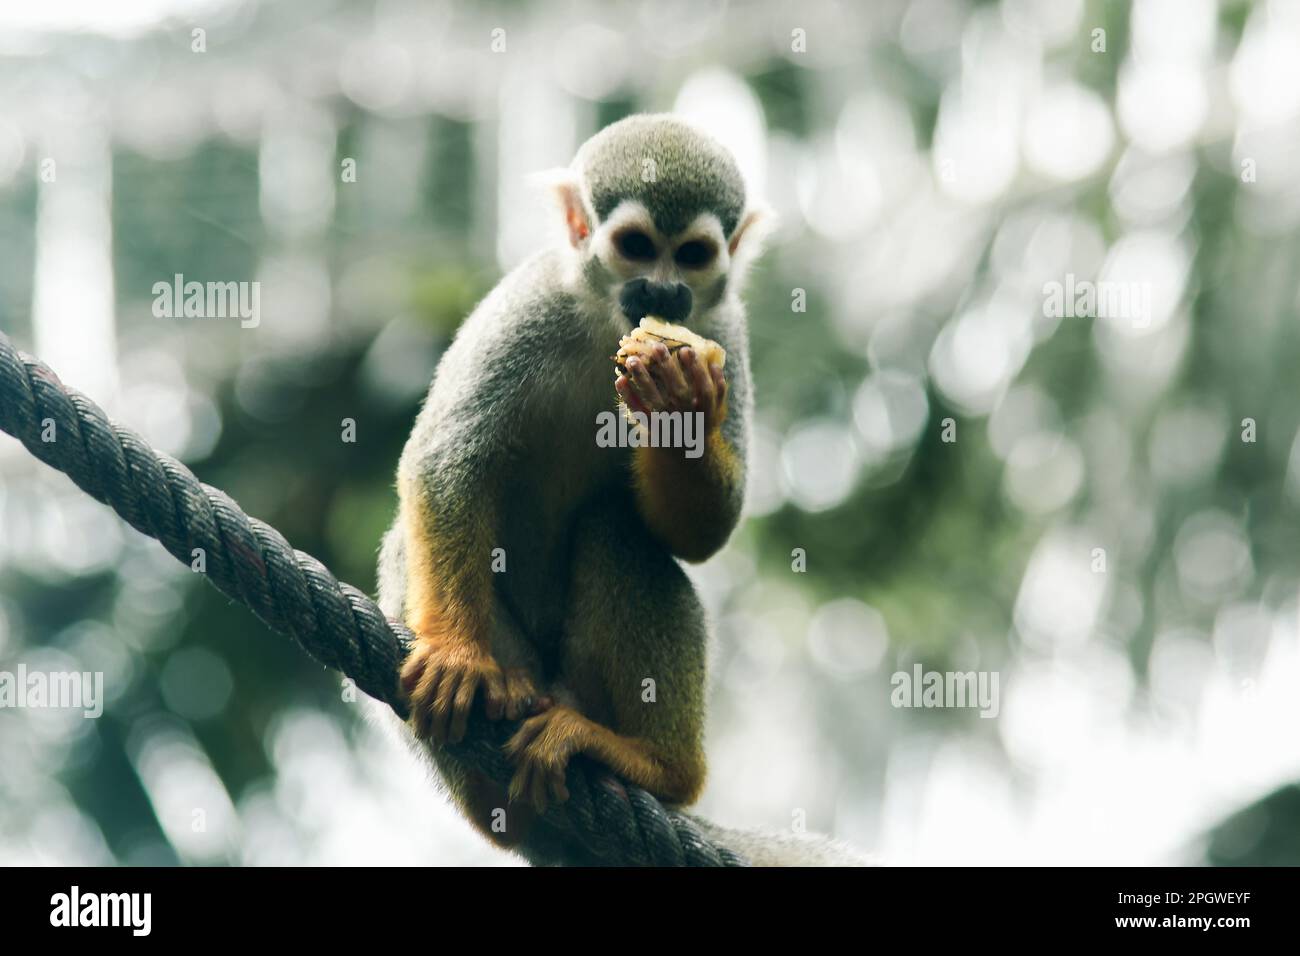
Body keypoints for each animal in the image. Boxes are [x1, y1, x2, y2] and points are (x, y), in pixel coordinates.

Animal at [376, 114, 867, 865]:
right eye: (637, 247)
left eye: (691, 255)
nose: (662, 293)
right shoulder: (529, 303)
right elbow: (449, 459)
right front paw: (457, 653)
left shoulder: (724, 333)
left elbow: (703, 533)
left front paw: (679, 406)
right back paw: (498, 793)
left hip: (579, 694)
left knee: (616, 527)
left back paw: (658, 767)